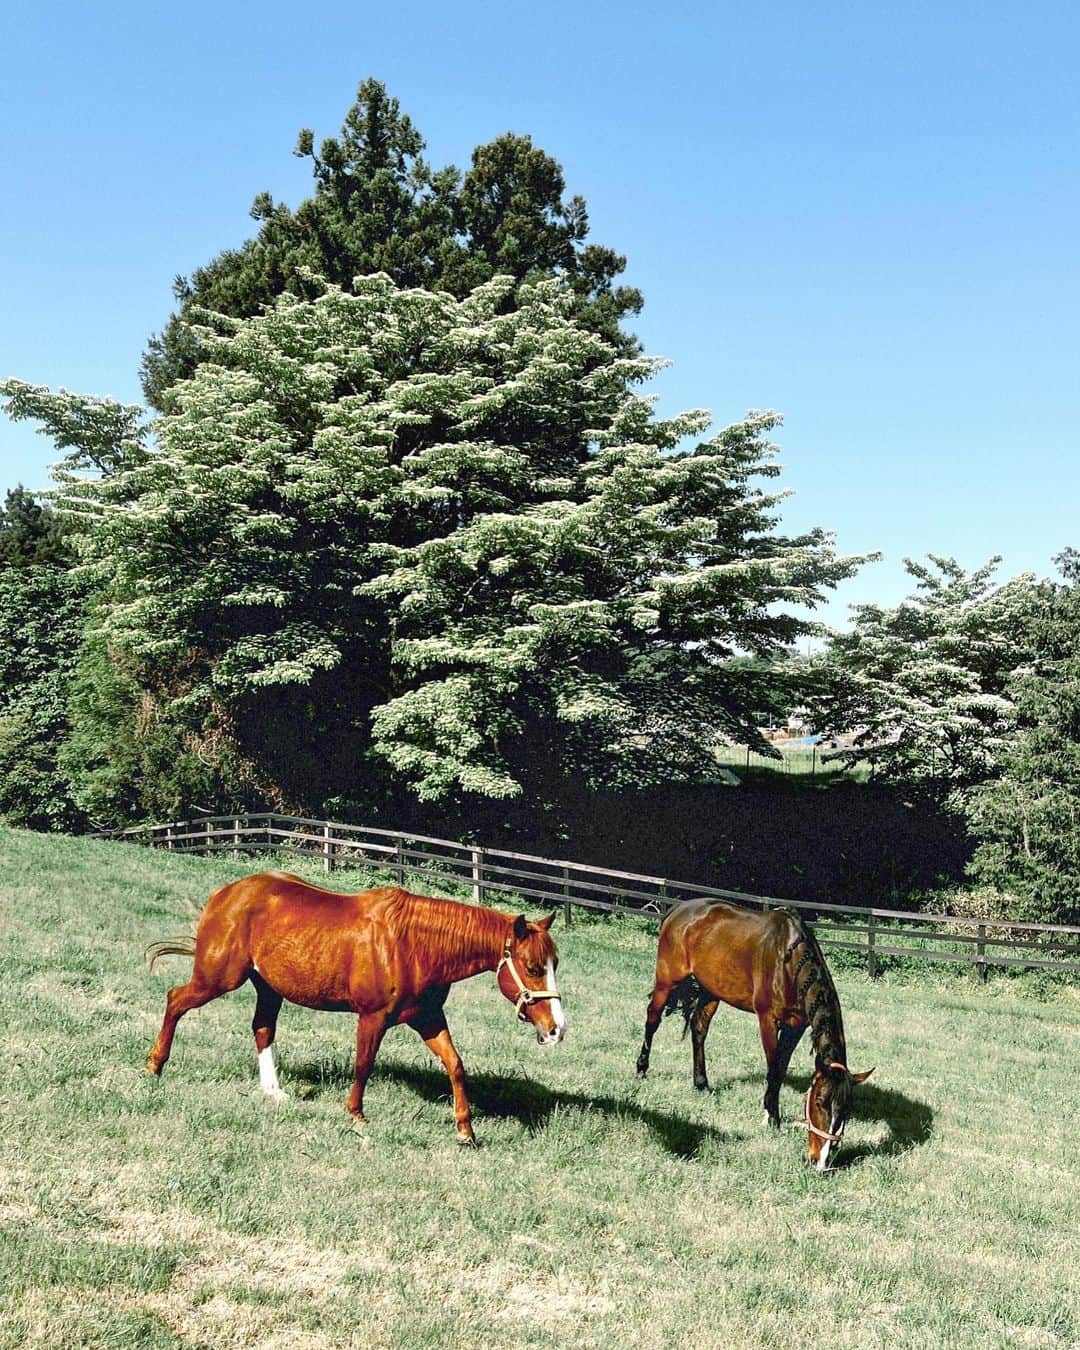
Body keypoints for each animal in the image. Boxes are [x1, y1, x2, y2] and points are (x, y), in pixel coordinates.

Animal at [145, 869, 564, 1144]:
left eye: (555, 965)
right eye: (532, 967)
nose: (556, 1030)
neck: (412, 945)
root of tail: (226, 893)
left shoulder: (427, 1018)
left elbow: (455, 1065)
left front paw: (465, 1131)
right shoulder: (373, 1017)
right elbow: (364, 1063)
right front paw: (357, 1116)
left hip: (267, 987)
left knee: (262, 1029)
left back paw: (273, 1091)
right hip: (218, 978)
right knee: (175, 1000)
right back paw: (154, 1066)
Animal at [637, 896, 874, 1171]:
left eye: (846, 1110)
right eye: (819, 1102)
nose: (821, 1161)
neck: (789, 960)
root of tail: (678, 909)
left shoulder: (796, 1026)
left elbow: (781, 1068)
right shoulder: (767, 1020)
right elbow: (773, 1070)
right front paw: (771, 1118)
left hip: (711, 990)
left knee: (699, 1028)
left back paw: (701, 1084)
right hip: (666, 979)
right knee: (652, 1020)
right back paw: (641, 1069)